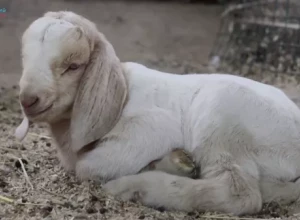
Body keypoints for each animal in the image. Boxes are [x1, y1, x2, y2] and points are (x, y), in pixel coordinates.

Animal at [16, 10, 300, 215]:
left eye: (74, 66)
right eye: (24, 59)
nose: (28, 99)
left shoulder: (152, 128)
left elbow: (87, 167)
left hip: (221, 121)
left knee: (240, 193)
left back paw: (133, 187)